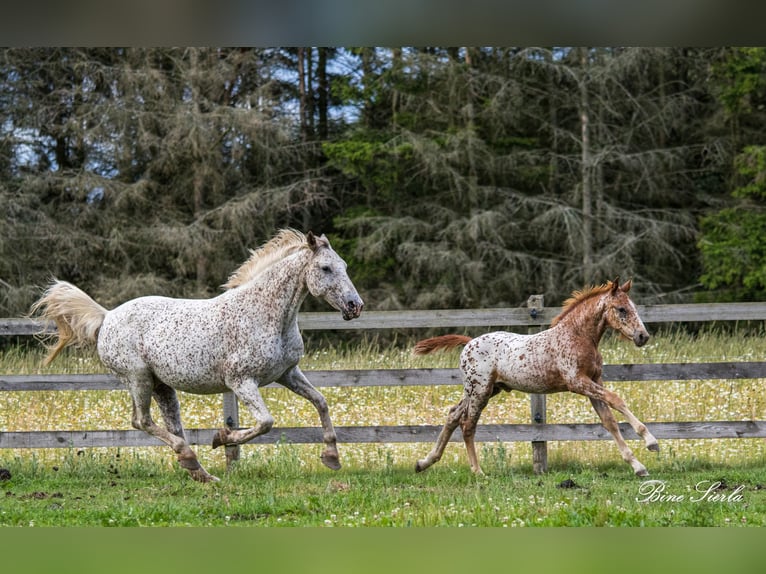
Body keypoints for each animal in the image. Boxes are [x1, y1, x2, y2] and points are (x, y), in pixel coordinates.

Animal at [30, 229, 364, 482]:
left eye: (345, 265)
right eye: (326, 268)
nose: (354, 306)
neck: (268, 314)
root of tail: (107, 316)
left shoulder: (287, 373)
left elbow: (321, 402)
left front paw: (331, 457)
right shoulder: (241, 381)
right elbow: (266, 422)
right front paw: (222, 437)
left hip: (163, 386)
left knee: (170, 426)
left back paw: (201, 473)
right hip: (138, 378)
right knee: (141, 421)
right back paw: (191, 459)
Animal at [412, 278, 658, 477]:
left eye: (633, 307)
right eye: (621, 309)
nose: (643, 336)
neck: (577, 336)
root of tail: (469, 342)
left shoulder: (594, 382)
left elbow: (609, 421)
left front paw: (638, 466)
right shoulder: (577, 382)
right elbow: (617, 400)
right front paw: (651, 442)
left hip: (485, 390)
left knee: (453, 415)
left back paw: (424, 462)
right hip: (480, 390)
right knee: (467, 425)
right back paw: (478, 471)